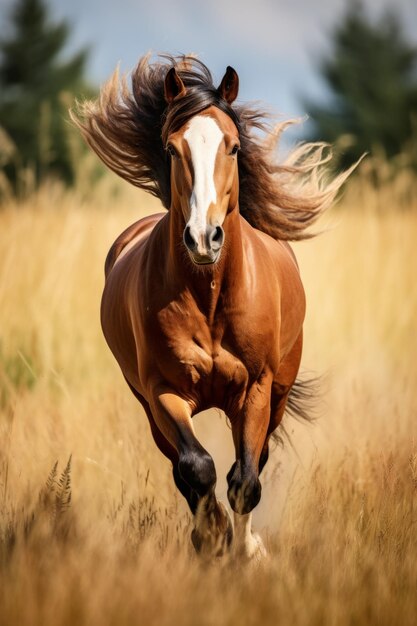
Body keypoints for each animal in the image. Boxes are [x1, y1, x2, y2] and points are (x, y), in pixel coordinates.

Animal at [72, 56, 352, 560]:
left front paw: (247, 552)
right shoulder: (163, 392)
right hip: (148, 406)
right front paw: (214, 537)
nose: (204, 237)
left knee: (254, 461)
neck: (211, 300)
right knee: (180, 467)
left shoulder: (257, 390)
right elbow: (197, 467)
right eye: (172, 148)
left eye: (234, 147)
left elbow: (245, 481)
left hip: (279, 394)